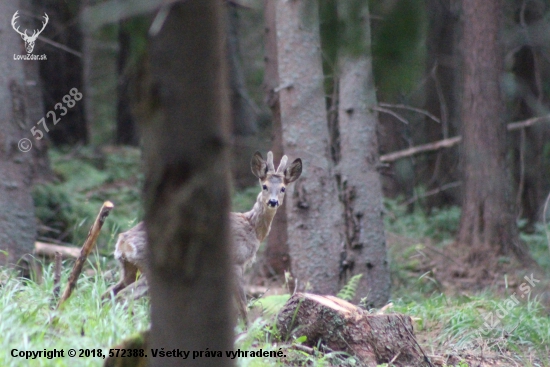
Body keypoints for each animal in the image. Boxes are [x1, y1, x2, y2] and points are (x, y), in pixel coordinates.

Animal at [103, 151, 302, 324]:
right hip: (150, 266)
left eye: (283, 188)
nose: (273, 202)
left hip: (130, 269)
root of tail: (123, 242)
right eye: (264, 186)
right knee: (125, 295)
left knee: (109, 292)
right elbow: (243, 306)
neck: (252, 227)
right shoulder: (236, 261)